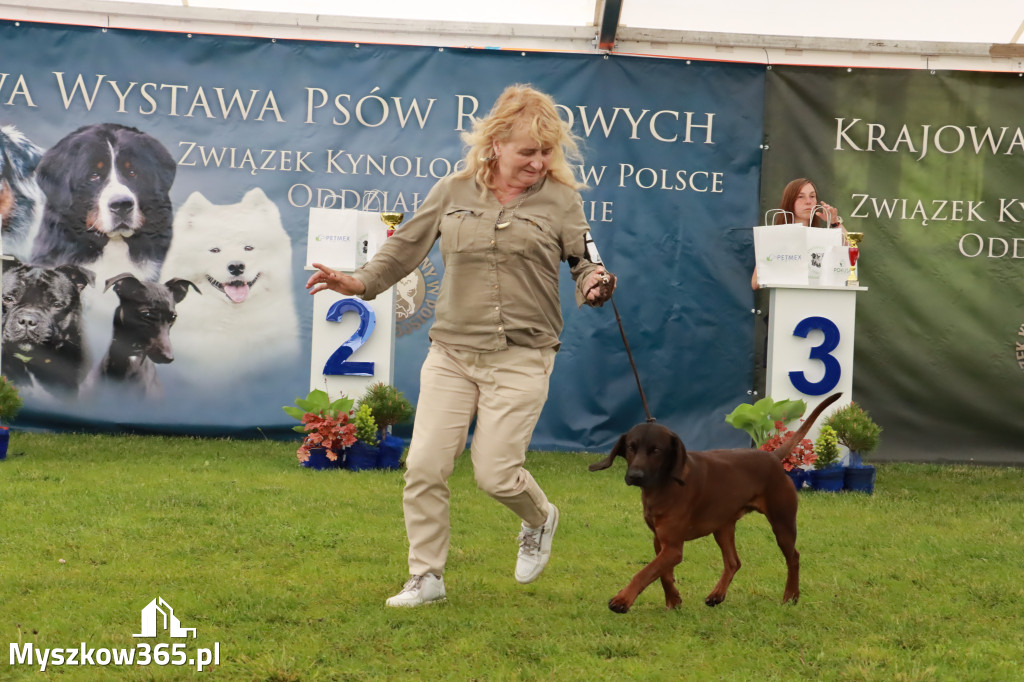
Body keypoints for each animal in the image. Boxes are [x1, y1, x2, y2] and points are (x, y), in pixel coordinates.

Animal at [589, 393, 843, 610]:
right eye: (631, 447)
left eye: (657, 450)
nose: (635, 476)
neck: (663, 486)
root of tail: (772, 456)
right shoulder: (660, 541)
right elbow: (662, 574)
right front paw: (673, 600)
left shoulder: (673, 547)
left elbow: (644, 572)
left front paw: (622, 600)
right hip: (723, 527)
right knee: (733, 562)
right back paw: (717, 595)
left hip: (782, 523)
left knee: (793, 558)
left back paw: (791, 596)